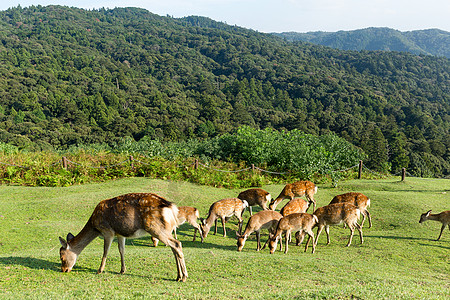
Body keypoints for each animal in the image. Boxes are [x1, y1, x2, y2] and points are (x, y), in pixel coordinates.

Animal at [58, 193, 188, 282]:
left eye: (62, 257)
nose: (64, 270)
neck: (95, 226)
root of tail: (172, 208)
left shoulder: (108, 231)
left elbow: (105, 251)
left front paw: (99, 270)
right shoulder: (120, 234)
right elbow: (121, 250)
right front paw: (122, 270)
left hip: (155, 227)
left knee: (177, 244)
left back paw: (184, 277)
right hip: (167, 229)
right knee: (174, 248)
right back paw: (178, 276)